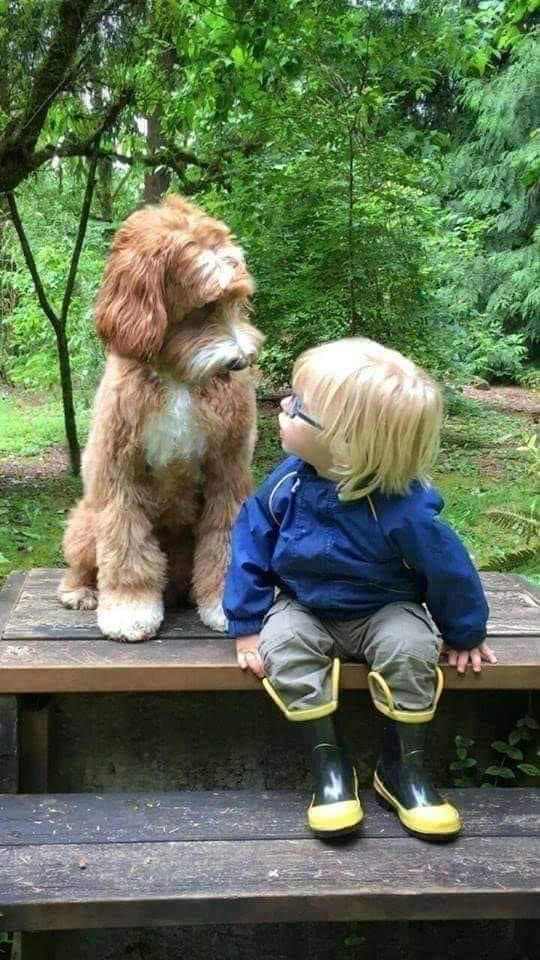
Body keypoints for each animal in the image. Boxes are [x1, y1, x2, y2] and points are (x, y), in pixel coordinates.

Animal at [58, 195, 265, 642]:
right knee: (82, 562)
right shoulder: (120, 474)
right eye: (205, 306)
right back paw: (80, 591)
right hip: (86, 520)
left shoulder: (227, 471)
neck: (179, 377)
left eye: (236, 300)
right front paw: (130, 611)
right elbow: (126, 547)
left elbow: (224, 538)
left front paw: (225, 605)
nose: (241, 361)